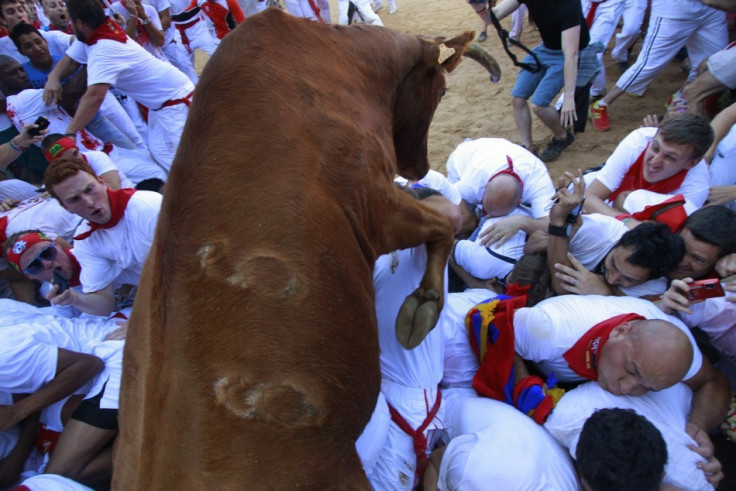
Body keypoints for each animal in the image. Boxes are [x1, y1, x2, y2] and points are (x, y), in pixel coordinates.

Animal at [113, 8, 500, 491]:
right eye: (442, 89)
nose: (418, 166)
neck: (343, 61)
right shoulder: (378, 207)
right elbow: (444, 225)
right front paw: (424, 304)